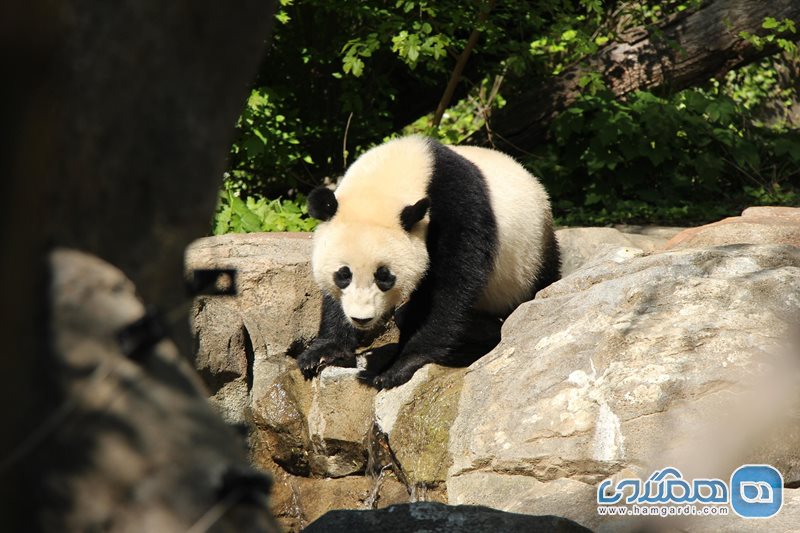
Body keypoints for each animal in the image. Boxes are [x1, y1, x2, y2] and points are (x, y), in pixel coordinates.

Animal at [294, 135, 556, 388]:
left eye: (384, 277)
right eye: (343, 275)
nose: (362, 318)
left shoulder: (458, 208)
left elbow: (451, 286)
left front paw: (396, 368)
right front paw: (322, 352)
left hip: (530, 257)